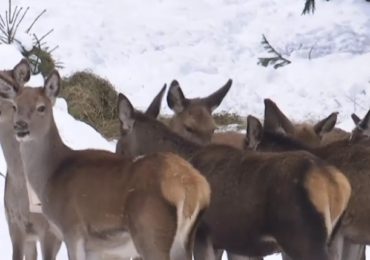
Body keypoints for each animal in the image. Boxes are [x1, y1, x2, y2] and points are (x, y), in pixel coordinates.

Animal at [117, 91, 352, 260]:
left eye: (119, 146)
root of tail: (335, 184)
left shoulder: (202, 233)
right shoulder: (227, 241)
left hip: (303, 238)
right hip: (331, 238)